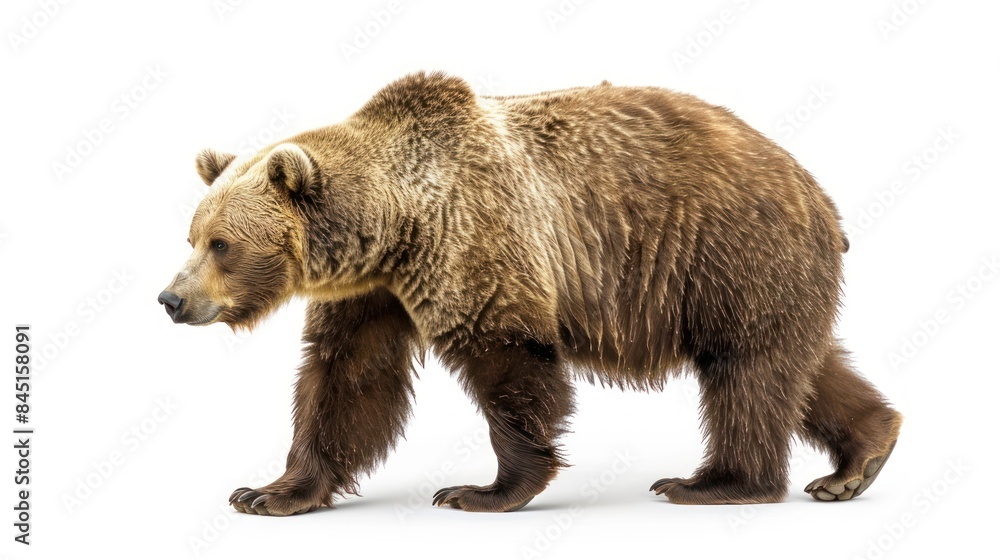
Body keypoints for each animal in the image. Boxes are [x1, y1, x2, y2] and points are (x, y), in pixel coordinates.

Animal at [158, 71, 902, 515]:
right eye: (191, 234)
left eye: (220, 243)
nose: (170, 299)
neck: (397, 225)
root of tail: (817, 192)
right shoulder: (372, 292)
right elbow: (346, 379)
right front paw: (267, 491)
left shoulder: (475, 243)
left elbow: (510, 361)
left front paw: (482, 489)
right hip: (758, 274)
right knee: (798, 366)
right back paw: (858, 459)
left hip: (727, 249)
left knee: (745, 371)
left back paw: (712, 481)